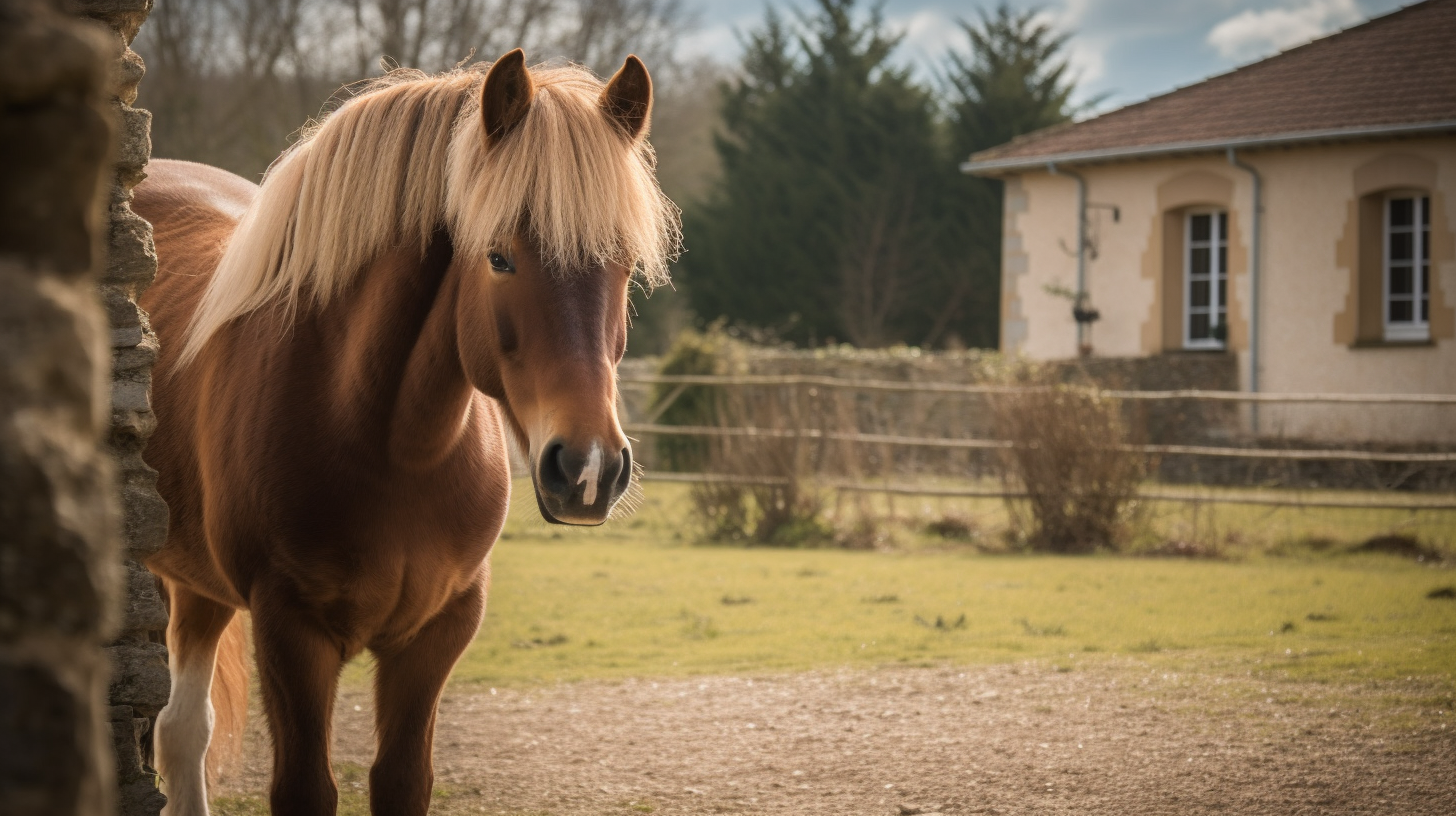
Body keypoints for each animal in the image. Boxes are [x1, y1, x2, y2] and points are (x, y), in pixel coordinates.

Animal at [131, 51, 675, 816]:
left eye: (623, 261)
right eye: (499, 257)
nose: (589, 469)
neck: (391, 445)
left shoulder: (436, 633)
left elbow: (402, 779)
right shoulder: (290, 630)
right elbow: (305, 787)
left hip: (199, 586)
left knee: (183, 732)